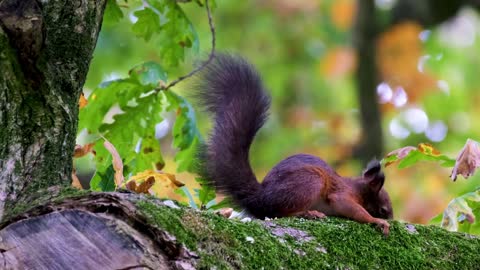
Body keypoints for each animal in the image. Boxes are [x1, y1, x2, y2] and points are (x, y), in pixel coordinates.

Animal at [193, 53, 392, 235]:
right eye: (384, 210)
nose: (391, 218)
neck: (358, 187)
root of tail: (261, 198)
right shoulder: (343, 194)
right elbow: (347, 206)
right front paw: (377, 221)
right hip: (309, 182)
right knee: (283, 212)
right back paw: (308, 213)